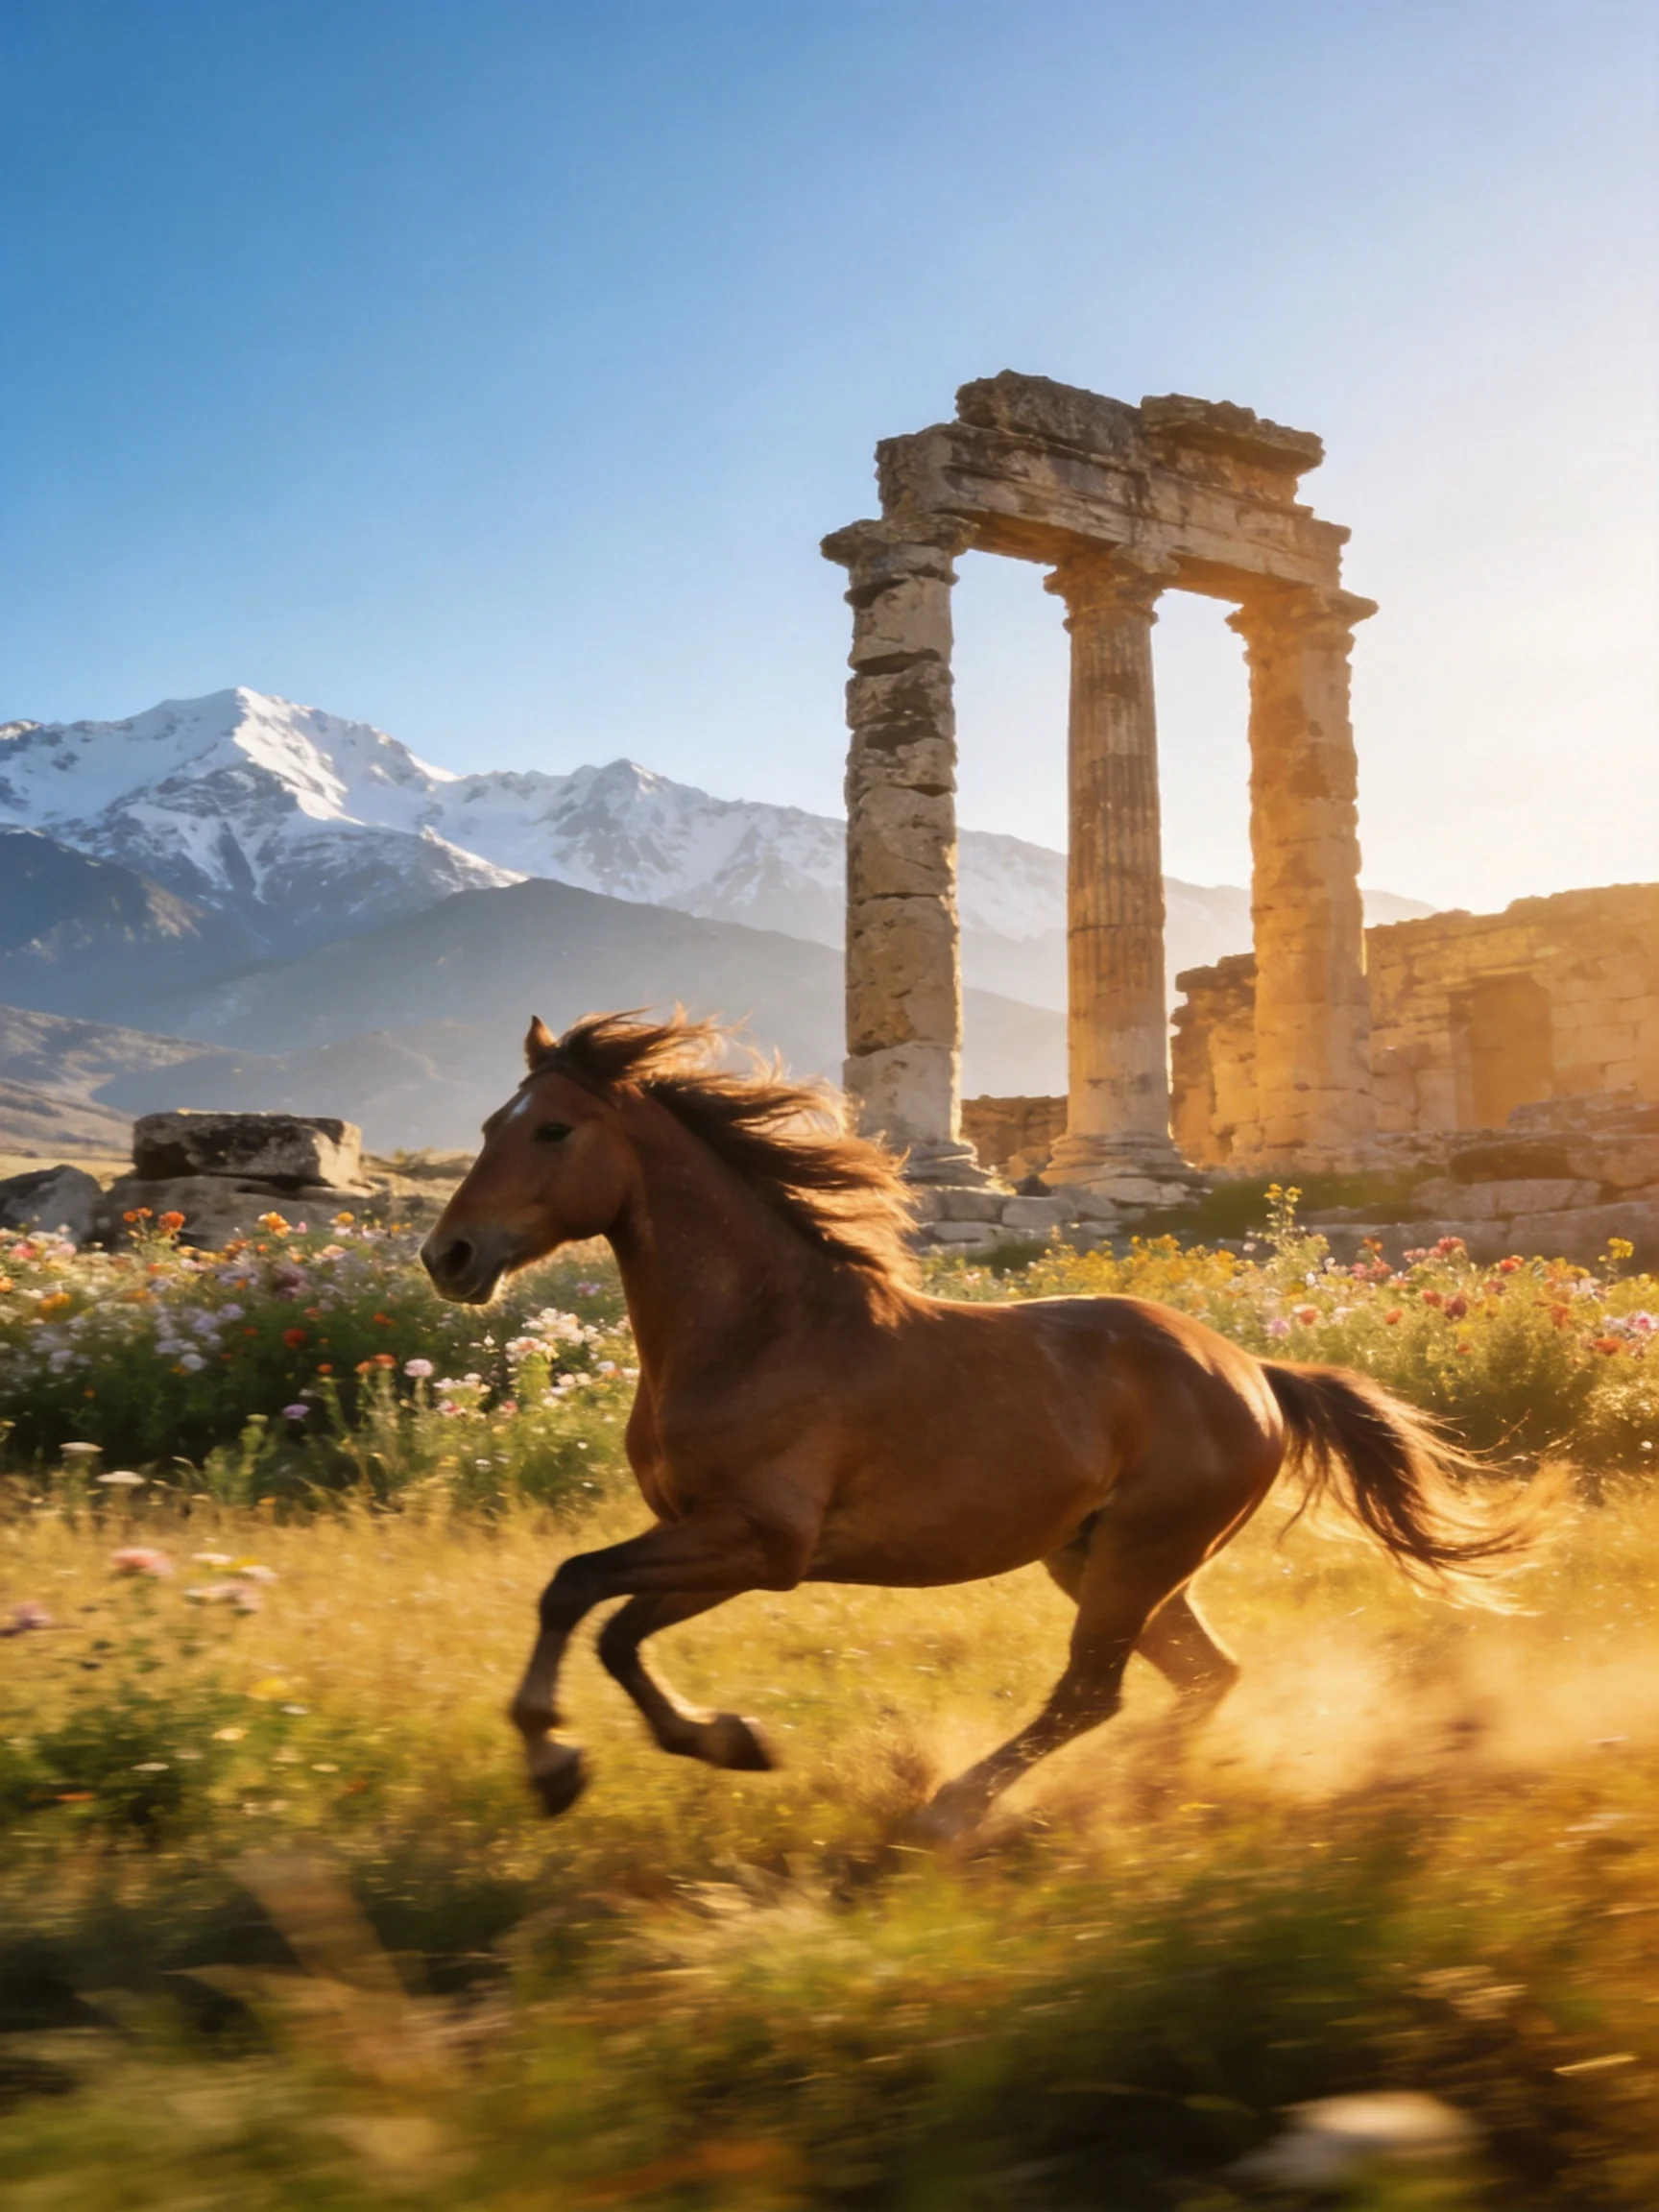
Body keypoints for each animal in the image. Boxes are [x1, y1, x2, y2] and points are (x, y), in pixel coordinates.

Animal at [421, 1010, 1547, 1836]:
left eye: (552, 1129)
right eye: (484, 1127)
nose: (451, 1256)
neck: (762, 1331)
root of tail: (1258, 1372)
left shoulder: (758, 1543)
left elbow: (576, 1590)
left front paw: (556, 1760)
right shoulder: (716, 1545)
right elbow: (612, 1627)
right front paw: (725, 1740)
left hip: (1142, 1555)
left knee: (1093, 1694)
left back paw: (960, 1808)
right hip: (1098, 1559)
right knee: (1201, 1677)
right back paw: (1142, 1795)